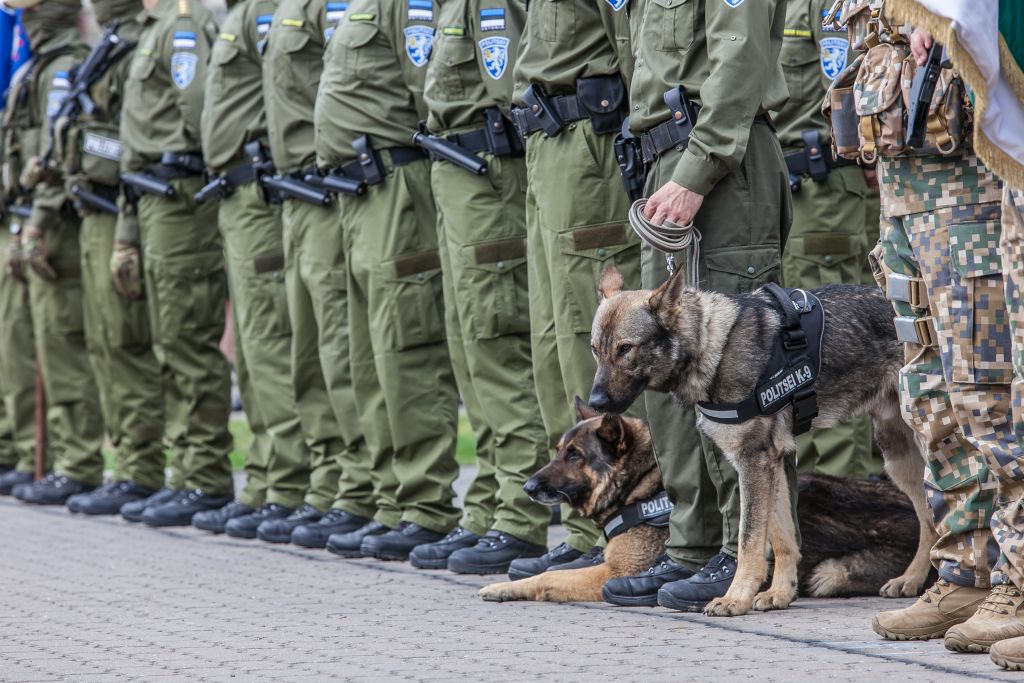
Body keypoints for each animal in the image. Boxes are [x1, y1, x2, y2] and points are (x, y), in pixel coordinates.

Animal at [475, 401, 925, 602]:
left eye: (574, 456)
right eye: (557, 452)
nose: (528, 487)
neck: (643, 487)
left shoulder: (612, 573)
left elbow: (549, 578)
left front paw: (504, 587)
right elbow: (554, 572)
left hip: (829, 572)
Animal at [577, 266, 937, 618]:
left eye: (625, 349)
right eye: (595, 349)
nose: (595, 403)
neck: (714, 346)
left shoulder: (752, 463)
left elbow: (748, 540)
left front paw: (735, 598)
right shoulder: (770, 463)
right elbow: (782, 539)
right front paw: (780, 593)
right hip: (899, 461)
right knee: (928, 522)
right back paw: (911, 580)